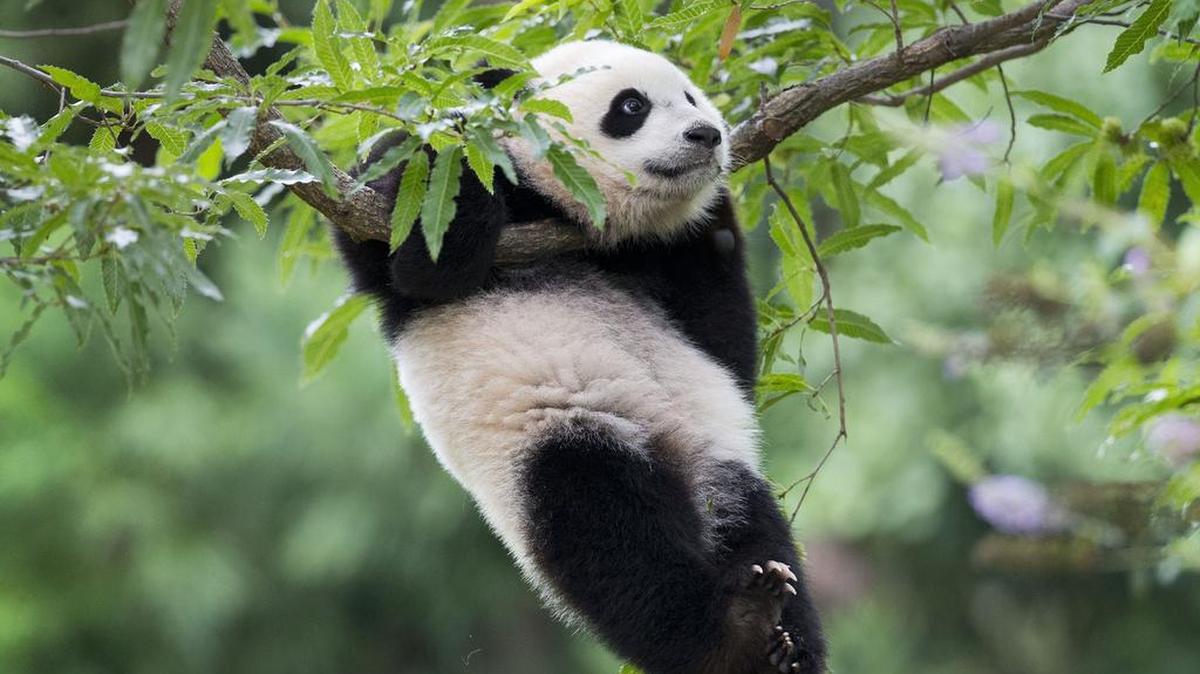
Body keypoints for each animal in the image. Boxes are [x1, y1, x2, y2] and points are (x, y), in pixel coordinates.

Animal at [334, 41, 826, 674]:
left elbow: (728, 350)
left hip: (719, 461)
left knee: (756, 530)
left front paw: (715, 212)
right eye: (632, 105)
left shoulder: (668, 262)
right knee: (610, 539)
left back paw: (783, 644)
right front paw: (461, 140)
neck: (574, 215)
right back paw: (732, 633)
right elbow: (424, 259)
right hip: (558, 436)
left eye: (690, 96)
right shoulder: (389, 222)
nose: (706, 134)